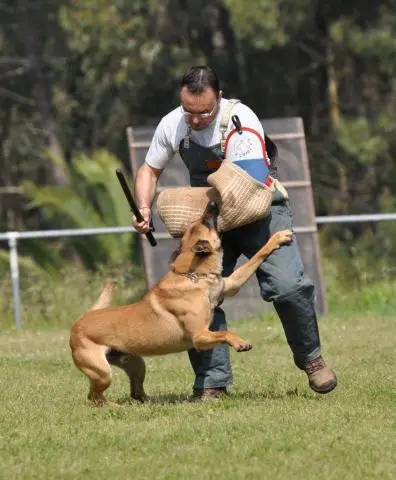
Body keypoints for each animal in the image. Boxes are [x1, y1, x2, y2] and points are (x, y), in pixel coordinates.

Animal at [70, 201, 294, 406]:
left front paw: (278, 238)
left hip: (136, 364)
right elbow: (224, 333)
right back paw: (116, 407)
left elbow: (256, 257)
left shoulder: (231, 284)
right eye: (205, 222)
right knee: (94, 397)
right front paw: (239, 342)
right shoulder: (200, 337)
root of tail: (79, 322)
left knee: (133, 392)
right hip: (102, 371)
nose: (212, 202)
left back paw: (148, 402)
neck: (192, 275)